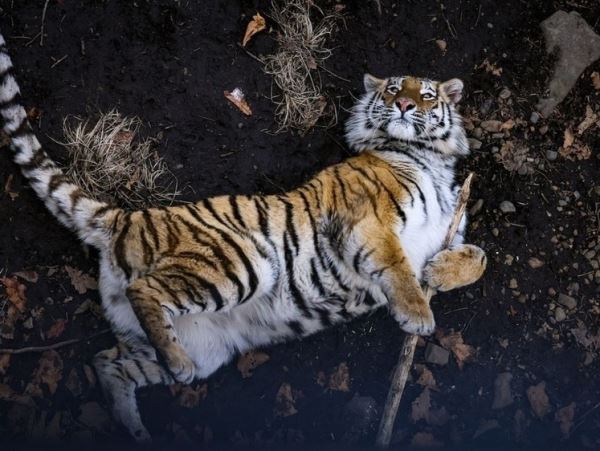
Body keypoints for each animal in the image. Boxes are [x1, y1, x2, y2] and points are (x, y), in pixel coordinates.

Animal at [0, 30, 488, 442]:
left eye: (426, 95)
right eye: (392, 90)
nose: (405, 105)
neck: (429, 160)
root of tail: (125, 218)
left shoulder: (448, 223)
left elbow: (479, 256)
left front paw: (440, 271)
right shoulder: (366, 218)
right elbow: (396, 263)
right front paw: (418, 315)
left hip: (203, 346)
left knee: (106, 362)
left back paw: (135, 428)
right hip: (242, 261)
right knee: (145, 292)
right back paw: (174, 370)